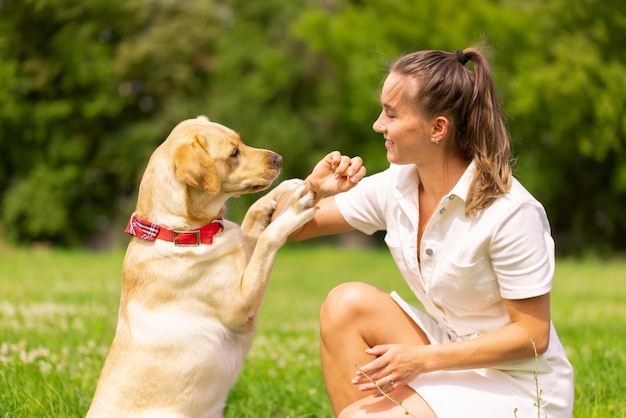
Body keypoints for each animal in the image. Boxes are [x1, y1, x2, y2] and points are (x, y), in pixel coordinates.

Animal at [85, 116, 314, 416]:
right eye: (233, 153)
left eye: (241, 142)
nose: (279, 158)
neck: (181, 230)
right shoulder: (239, 308)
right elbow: (268, 238)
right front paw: (293, 210)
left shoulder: (243, 251)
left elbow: (252, 219)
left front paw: (284, 189)